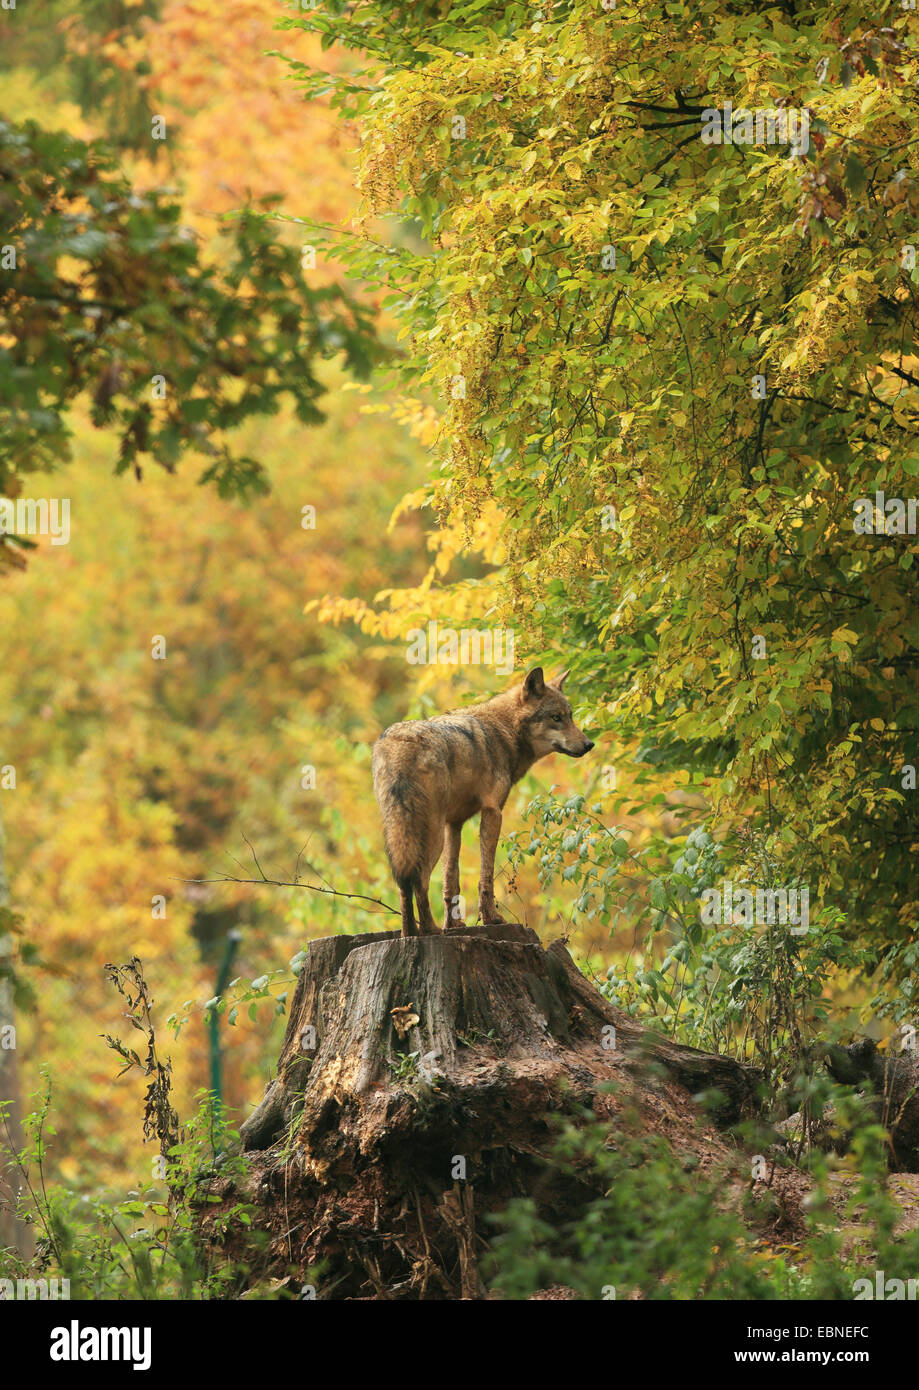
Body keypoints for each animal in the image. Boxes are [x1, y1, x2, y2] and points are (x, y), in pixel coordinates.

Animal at [372, 667, 594, 936]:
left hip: (402, 831)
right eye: (556, 717)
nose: (589, 744)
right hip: (430, 833)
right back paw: (429, 930)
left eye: (570, 716)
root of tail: (400, 743)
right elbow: (485, 874)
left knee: (403, 882)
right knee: (420, 880)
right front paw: (491, 918)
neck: (504, 731)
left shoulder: (454, 824)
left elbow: (451, 879)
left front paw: (454, 925)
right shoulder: (493, 811)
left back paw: (409, 933)